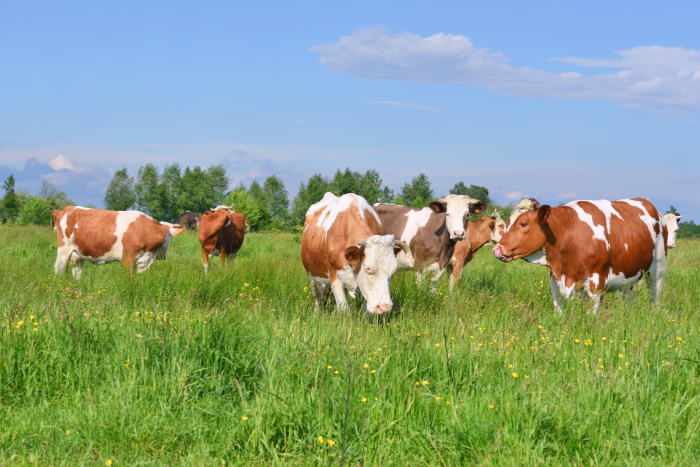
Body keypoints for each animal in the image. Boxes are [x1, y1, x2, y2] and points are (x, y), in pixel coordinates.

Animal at [52, 207, 185, 280]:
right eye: (170, 237)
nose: (164, 256)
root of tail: (65, 209)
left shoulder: (141, 261)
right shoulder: (128, 258)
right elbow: (128, 279)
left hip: (78, 255)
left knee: (77, 274)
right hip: (63, 250)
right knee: (58, 270)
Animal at [492, 198, 668, 314]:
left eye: (523, 224)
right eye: (507, 223)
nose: (497, 248)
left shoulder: (597, 282)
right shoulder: (555, 279)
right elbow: (558, 310)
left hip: (658, 269)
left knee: (655, 295)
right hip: (628, 274)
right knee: (628, 297)